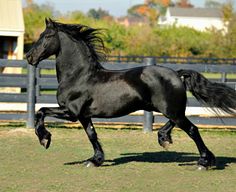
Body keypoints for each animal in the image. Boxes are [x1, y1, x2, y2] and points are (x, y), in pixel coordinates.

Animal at [26, 18, 236, 170]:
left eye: (47, 36)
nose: (29, 57)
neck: (78, 75)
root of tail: (176, 74)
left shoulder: (71, 112)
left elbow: (41, 110)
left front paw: (44, 139)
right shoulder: (84, 115)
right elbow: (91, 134)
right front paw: (95, 160)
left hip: (171, 110)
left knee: (192, 129)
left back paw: (204, 162)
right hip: (169, 109)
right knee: (176, 123)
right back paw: (164, 138)